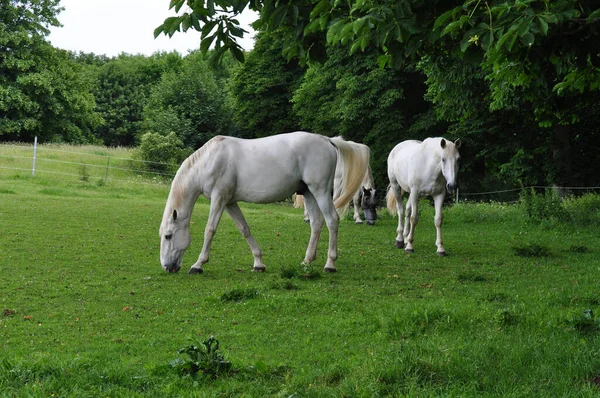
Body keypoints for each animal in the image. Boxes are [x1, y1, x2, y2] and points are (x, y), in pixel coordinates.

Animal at [158, 132, 370, 276]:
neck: (210, 161)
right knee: (316, 223)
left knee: (332, 221)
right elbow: (244, 229)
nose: (167, 267)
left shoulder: (219, 199)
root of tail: (327, 139)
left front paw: (198, 265)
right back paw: (307, 261)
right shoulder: (230, 202)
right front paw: (258, 262)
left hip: (321, 191)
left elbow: (210, 230)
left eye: (169, 236)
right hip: (309, 193)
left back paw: (330, 264)